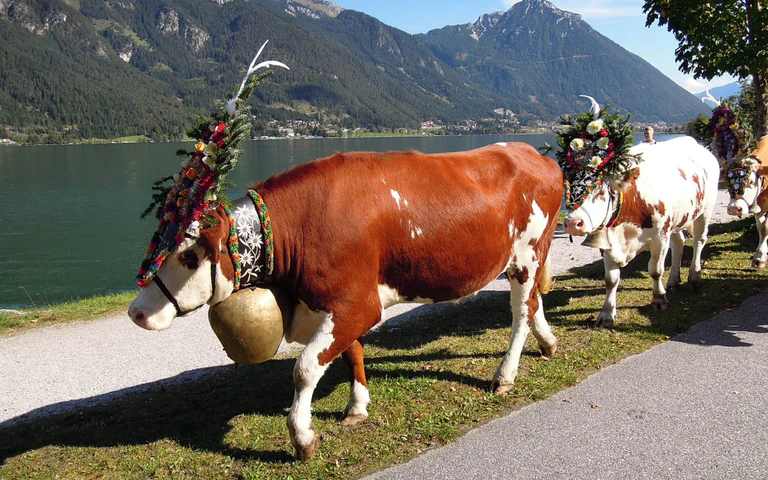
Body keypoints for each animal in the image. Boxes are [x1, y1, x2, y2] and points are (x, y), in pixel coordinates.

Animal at [128, 142, 563, 460]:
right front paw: (357, 407)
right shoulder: (338, 304)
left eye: (189, 256)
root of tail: (533, 153)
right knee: (533, 306)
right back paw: (548, 343)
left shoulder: (358, 305)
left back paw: (505, 375)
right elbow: (351, 352)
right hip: (526, 256)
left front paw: (302, 438)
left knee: (520, 314)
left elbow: (305, 369)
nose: (137, 311)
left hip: (526, 255)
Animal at [562, 136, 720, 327]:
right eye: (568, 189)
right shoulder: (608, 244)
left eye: (601, 192)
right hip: (677, 219)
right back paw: (673, 281)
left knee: (698, 241)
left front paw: (659, 299)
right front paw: (606, 314)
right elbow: (610, 280)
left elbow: (656, 270)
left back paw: (695, 277)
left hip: (705, 210)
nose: (572, 223)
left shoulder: (660, 237)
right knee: (679, 244)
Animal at [725, 135, 768, 268]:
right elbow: (761, 229)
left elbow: (766, 228)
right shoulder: (759, 208)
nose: (735, 209)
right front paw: (759, 258)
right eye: (728, 183)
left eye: (751, 181)